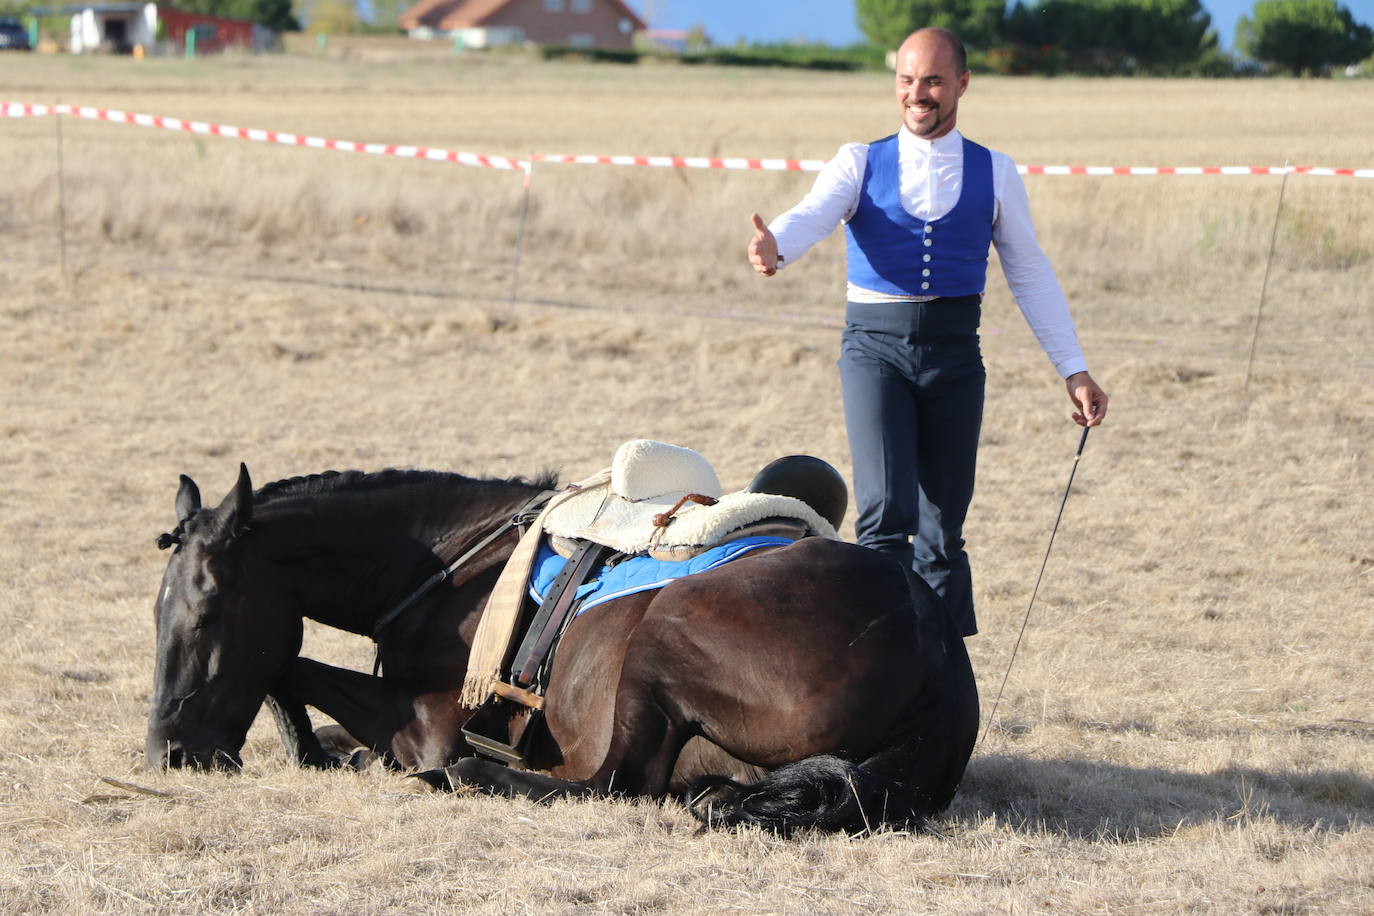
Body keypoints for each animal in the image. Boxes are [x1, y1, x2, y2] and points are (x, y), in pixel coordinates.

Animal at [150, 466, 978, 829]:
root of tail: (932, 642)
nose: (169, 752)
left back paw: (471, 778)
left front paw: (321, 749)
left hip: (660, 642)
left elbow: (294, 667)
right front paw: (323, 746)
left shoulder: (433, 718)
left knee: (613, 782)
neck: (448, 566)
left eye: (210, 609)